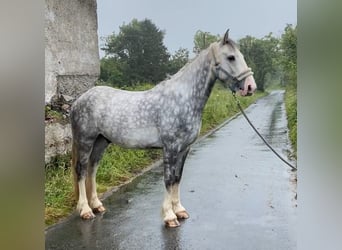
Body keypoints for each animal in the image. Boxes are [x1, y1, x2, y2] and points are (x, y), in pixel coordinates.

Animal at [70, 30, 256, 228]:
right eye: (231, 57)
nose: (250, 86)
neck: (182, 98)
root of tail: (79, 100)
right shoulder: (170, 148)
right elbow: (168, 180)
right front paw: (169, 216)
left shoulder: (184, 149)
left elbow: (177, 178)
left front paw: (179, 210)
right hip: (86, 140)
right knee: (81, 171)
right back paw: (86, 210)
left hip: (101, 141)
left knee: (92, 169)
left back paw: (97, 205)